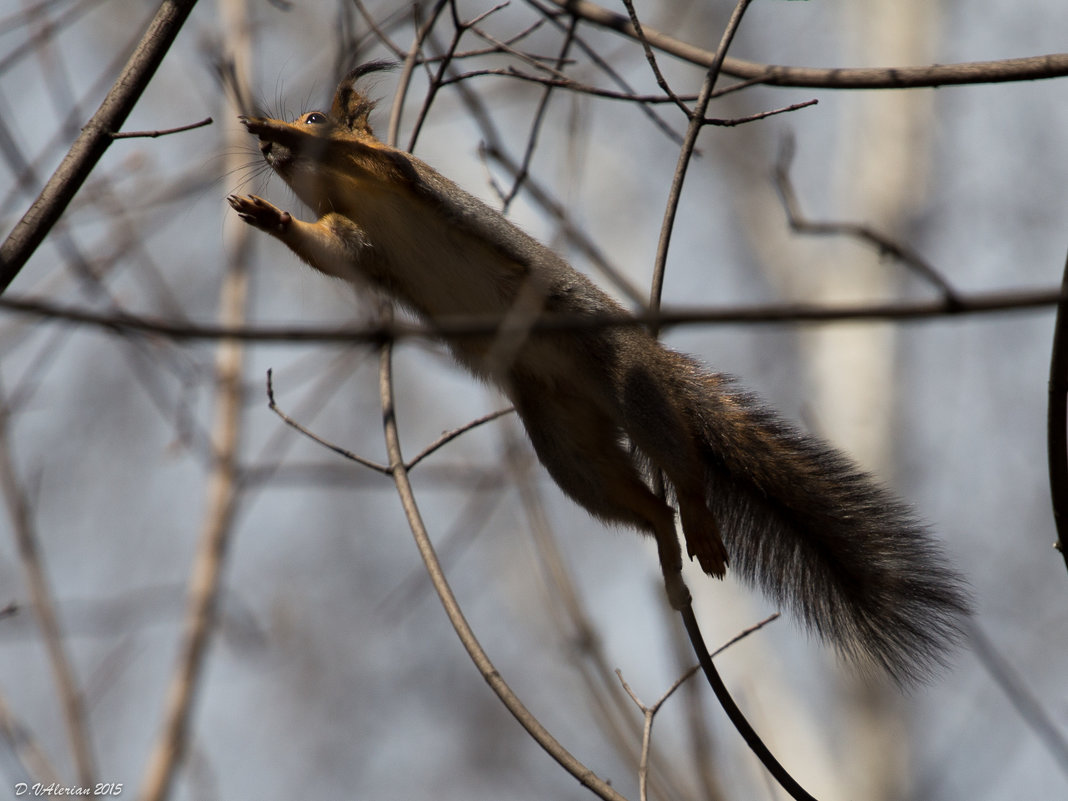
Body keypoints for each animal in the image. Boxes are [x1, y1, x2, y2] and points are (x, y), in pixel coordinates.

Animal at [229, 64, 974, 692]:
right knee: (644, 506)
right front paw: (272, 215)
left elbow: (373, 161)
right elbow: (329, 251)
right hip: (568, 447)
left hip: (633, 387)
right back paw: (671, 555)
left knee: (682, 466)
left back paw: (701, 528)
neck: (351, 194)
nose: (268, 143)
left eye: (316, 115)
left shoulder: (406, 175)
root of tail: (651, 360)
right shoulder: (357, 241)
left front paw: (277, 134)